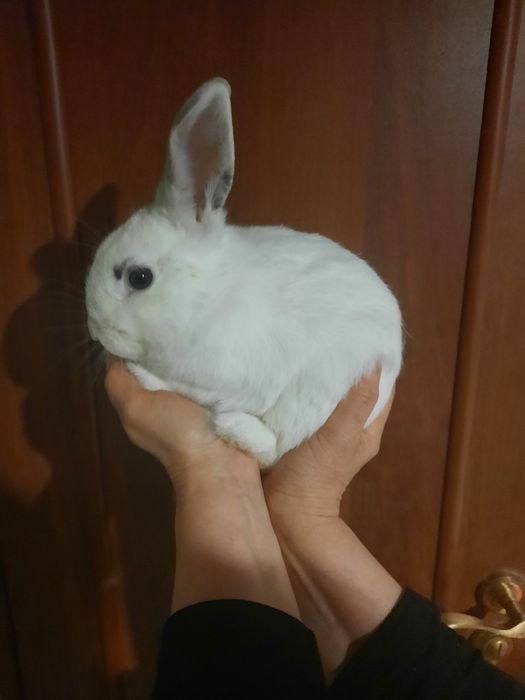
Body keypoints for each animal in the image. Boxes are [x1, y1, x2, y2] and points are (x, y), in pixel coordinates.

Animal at [85, 78, 402, 467]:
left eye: (139, 278)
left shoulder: (230, 376)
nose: (95, 329)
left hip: (311, 398)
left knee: (275, 447)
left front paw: (144, 376)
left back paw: (233, 428)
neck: (205, 296)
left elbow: (191, 388)